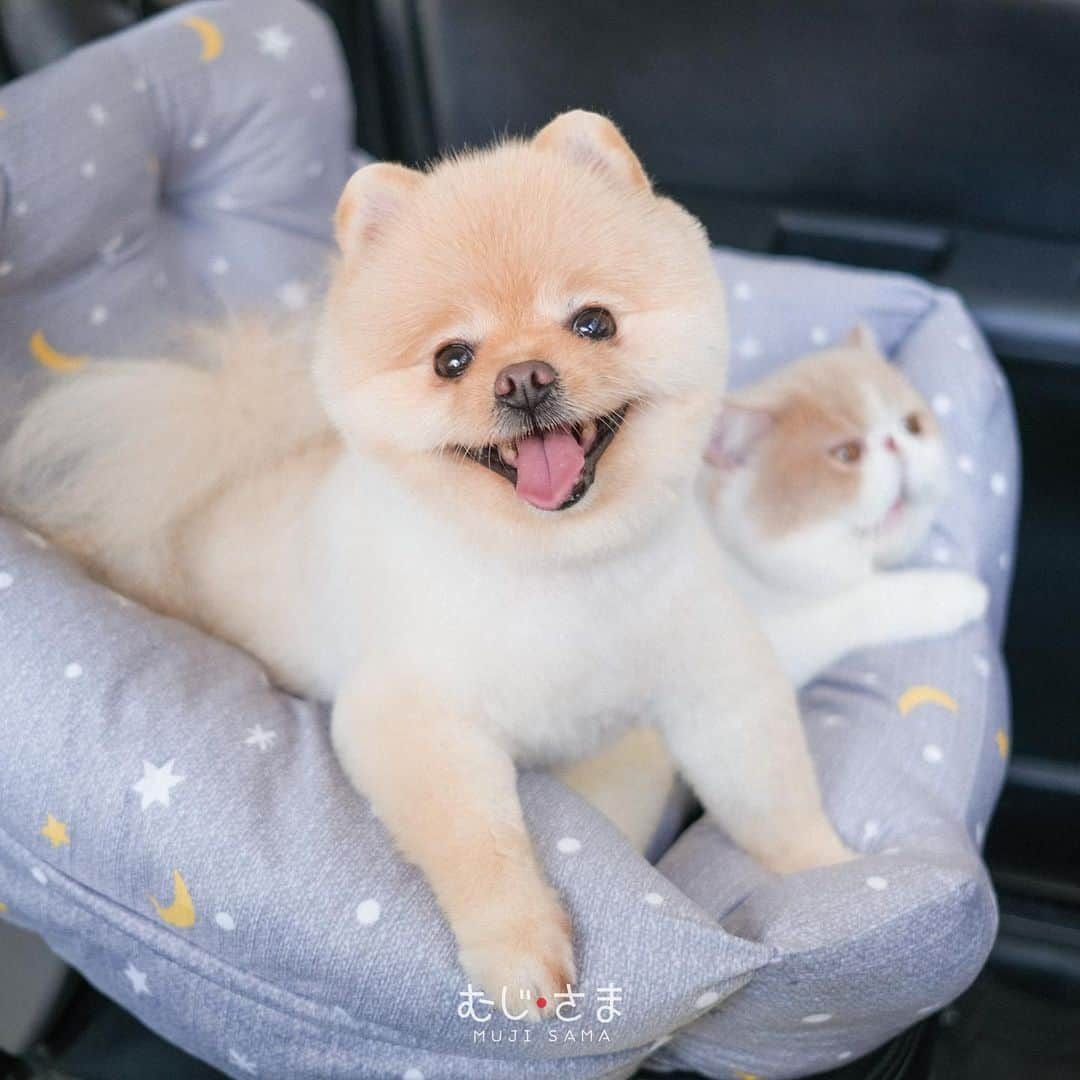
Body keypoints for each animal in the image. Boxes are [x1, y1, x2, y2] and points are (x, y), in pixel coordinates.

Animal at [2, 113, 851, 1015]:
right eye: (452, 359)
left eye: (593, 322)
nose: (524, 378)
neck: (557, 567)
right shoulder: (413, 716)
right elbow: (478, 842)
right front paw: (520, 949)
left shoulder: (709, 676)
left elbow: (766, 792)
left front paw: (830, 875)